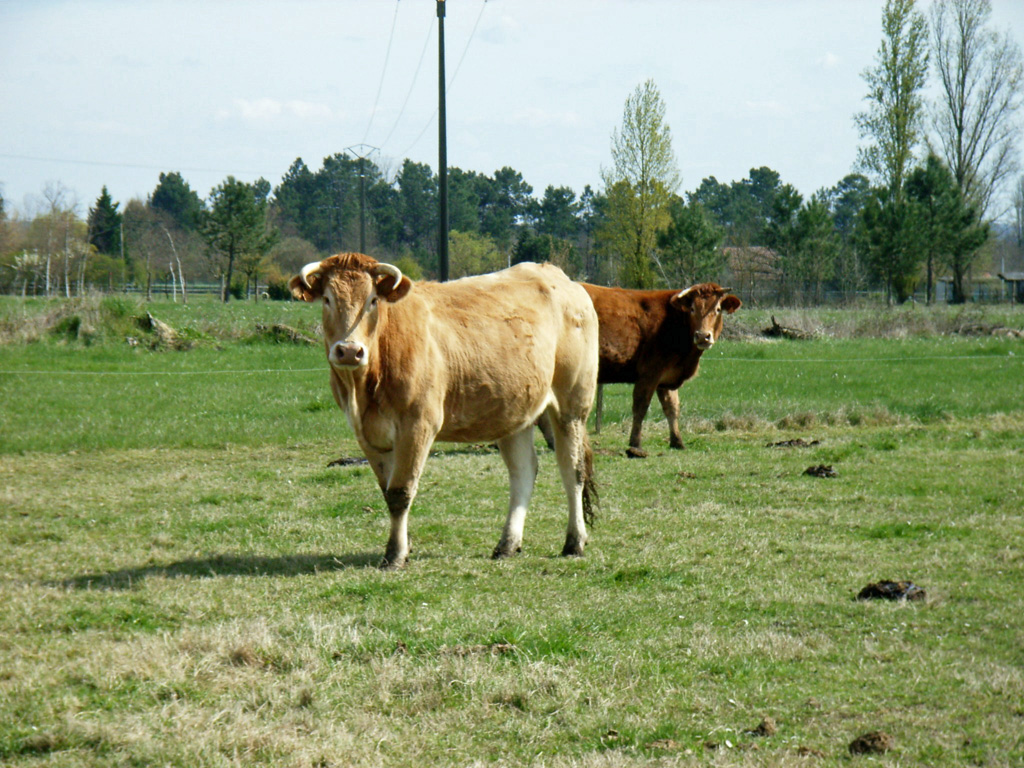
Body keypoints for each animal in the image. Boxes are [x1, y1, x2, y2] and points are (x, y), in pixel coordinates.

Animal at [290, 253, 598, 573]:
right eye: (327, 299)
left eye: (373, 300)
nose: (349, 351)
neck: (363, 389)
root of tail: (557, 275)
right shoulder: (367, 434)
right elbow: (388, 491)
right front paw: (405, 546)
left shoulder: (418, 424)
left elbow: (401, 491)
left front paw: (395, 554)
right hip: (514, 410)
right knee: (523, 471)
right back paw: (507, 545)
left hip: (572, 403)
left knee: (572, 469)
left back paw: (574, 542)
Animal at [581, 284, 741, 456]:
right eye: (692, 308)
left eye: (718, 309)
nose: (703, 336)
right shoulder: (650, 372)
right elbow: (640, 407)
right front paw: (635, 445)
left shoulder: (666, 376)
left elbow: (672, 407)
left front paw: (677, 442)